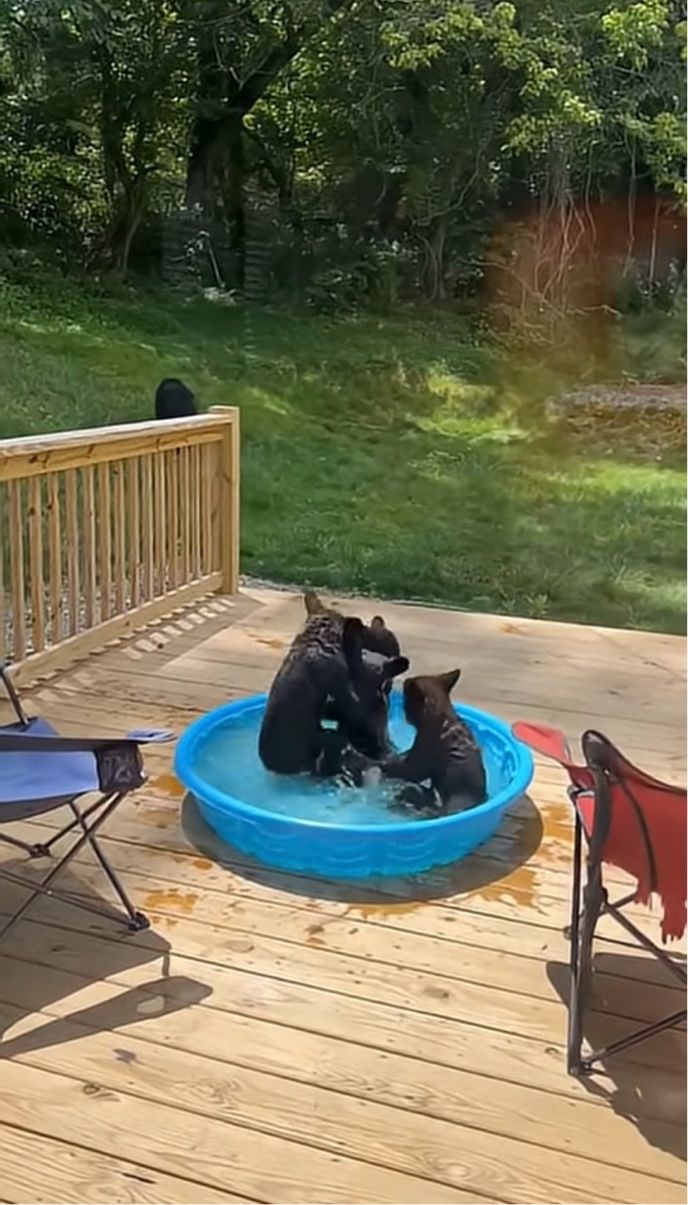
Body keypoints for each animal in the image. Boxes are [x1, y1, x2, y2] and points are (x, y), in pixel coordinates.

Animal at [381, 669, 487, 815]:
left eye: (406, 703)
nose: (406, 716)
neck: (441, 713)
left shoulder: (416, 761)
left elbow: (399, 768)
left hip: (412, 790)